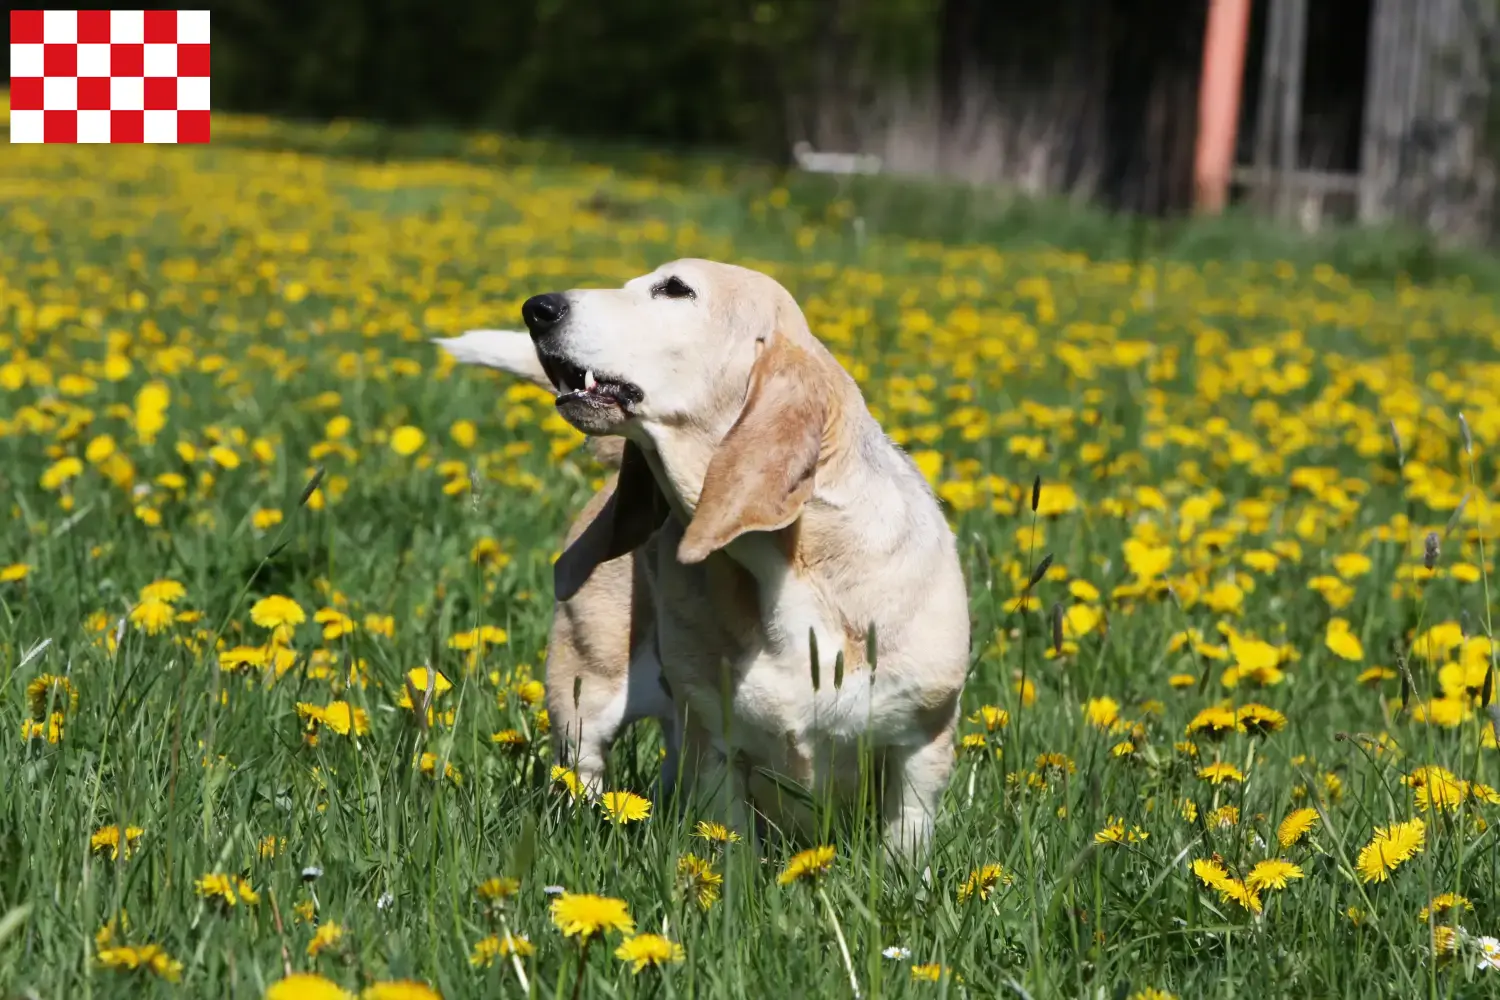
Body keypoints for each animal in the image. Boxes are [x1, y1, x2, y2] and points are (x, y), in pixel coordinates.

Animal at [438, 260, 966, 863]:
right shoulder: (715, 749)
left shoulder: (921, 748)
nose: (538, 308)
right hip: (584, 692)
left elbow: (906, 843)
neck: (788, 567)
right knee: (583, 768)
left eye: (675, 289)